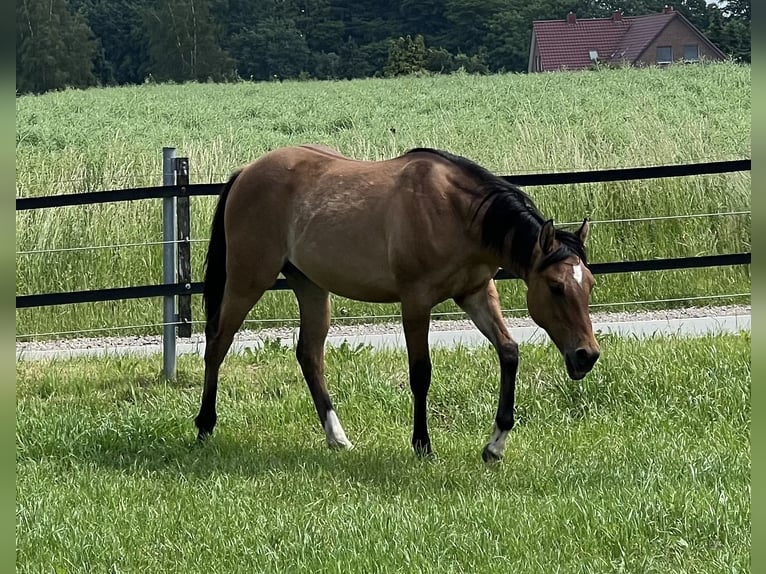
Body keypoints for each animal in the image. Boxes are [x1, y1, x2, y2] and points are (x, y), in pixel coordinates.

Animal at [195, 144, 600, 462]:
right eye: (555, 287)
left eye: (590, 284)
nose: (587, 356)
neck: (455, 211)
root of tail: (246, 173)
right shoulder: (416, 302)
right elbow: (421, 373)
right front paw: (423, 445)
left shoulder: (476, 293)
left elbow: (509, 352)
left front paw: (495, 445)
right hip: (248, 280)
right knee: (217, 342)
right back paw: (204, 426)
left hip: (310, 287)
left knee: (309, 355)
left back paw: (337, 437)